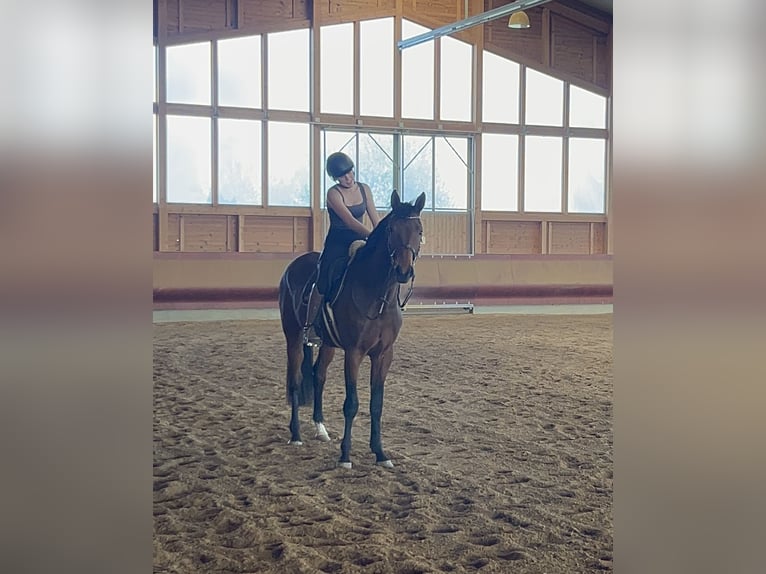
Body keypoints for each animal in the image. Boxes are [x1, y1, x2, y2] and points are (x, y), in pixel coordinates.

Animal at [278, 190, 426, 469]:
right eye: (391, 229)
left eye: (419, 230)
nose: (403, 271)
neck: (377, 294)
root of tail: (292, 267)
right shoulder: (354, 352)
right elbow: (352, 403)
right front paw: (345, 456)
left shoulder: (383, 354)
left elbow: (376, 404)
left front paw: (380, 453)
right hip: (293, 336)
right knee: (295, 380)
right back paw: (296, 435)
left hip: (327, 344)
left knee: (318, 375)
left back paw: (320, 428)